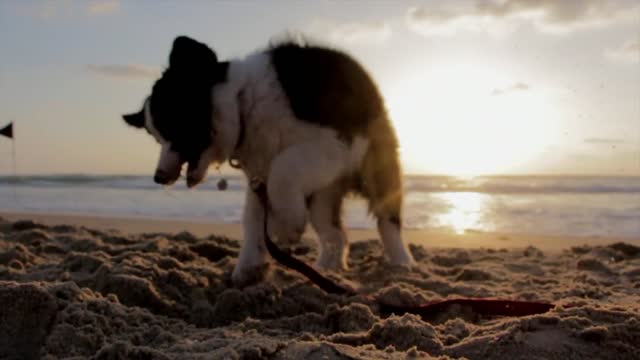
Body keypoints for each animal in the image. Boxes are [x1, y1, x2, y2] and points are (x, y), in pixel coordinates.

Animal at [123, 35, 418, 284]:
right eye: (156, 138)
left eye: (172, 127)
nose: (158, 177)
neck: (243, 103)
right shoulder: (259, 174)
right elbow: (253, 219)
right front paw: (249, 266)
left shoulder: (333, 144)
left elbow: (283, 170)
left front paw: (286, 227)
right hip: (323, 196)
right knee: (335, 233)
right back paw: (326, 267)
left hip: (375, 167)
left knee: (387, 220)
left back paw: (402, 263)